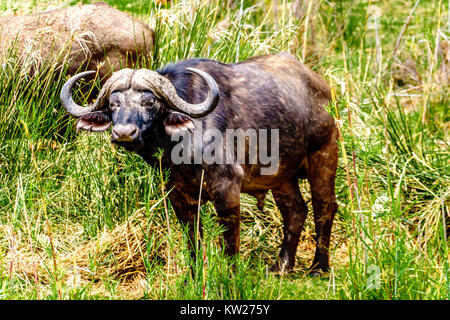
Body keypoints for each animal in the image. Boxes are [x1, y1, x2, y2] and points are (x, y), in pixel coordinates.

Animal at [61, 53, 340, 274]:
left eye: (150, 102)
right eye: (113, 104)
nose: (123, 133)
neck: (179, 150)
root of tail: (322, 88)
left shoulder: (227, 190)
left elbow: (229, 242)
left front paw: (230, 278)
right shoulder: (179, 196)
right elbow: (193, 242)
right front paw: (193, 279)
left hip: (324, 156)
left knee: (324, 207)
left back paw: (319, 267)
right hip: (282, 177)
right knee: (295, 211)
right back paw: (282, 267)